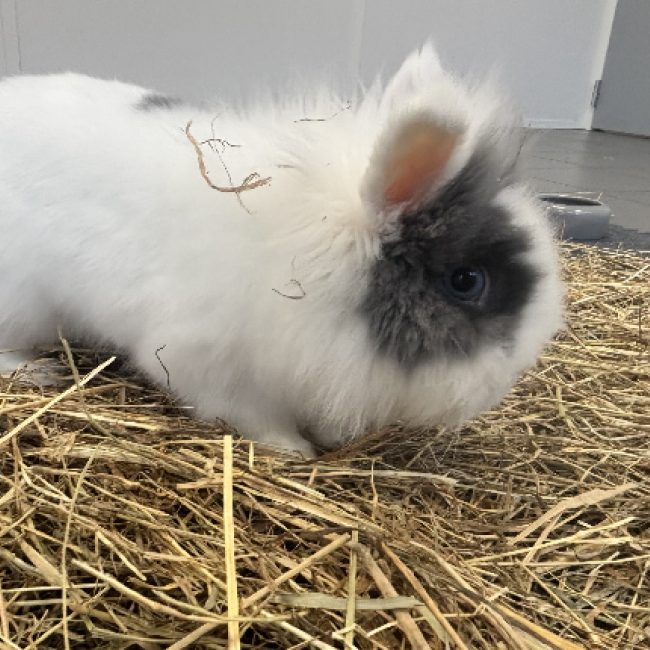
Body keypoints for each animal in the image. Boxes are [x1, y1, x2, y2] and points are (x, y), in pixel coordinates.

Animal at [0, 44, 563, 456]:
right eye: (468, 281)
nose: (517, 368)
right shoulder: (210, 368)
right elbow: (254, 419)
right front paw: (297, 452)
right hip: (23, 305)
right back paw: (40, 372)